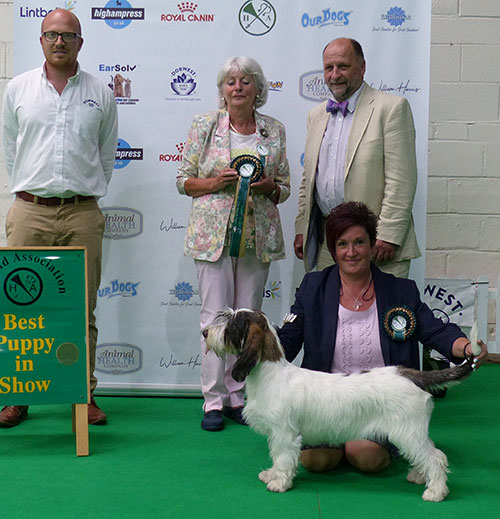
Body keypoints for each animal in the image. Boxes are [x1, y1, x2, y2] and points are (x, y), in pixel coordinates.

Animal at [203, 308, 476, 504]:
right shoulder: (277, 434)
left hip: (408, 433)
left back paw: (436, 491)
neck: (271, 373)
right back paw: (420, 477)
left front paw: (279, 483)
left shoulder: (284, 434)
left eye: (231, 323)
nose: (205, 332)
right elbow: (275, 456)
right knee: (431, 453)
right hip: (412, 433)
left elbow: (282, 458)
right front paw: (271, 474)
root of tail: (411, 375)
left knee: (435, 457)